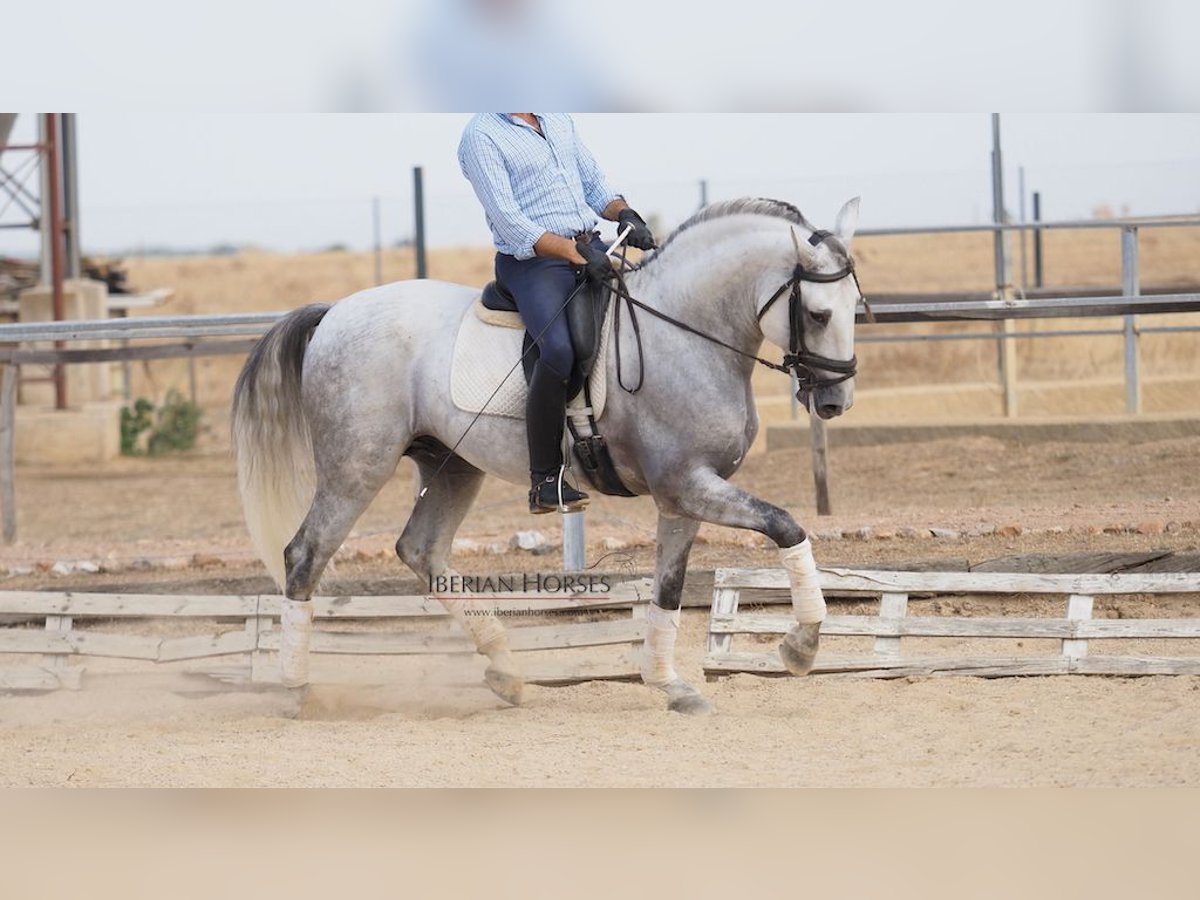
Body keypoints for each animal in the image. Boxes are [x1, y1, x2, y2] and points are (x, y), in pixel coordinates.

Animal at [229, 194, 859, 715]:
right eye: (818, 313)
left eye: (857, 304)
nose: (836, 400)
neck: (686, 334)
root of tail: (334, 312)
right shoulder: (687, 485)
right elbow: (786, 525)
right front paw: (801, 647)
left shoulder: (683, 497)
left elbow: (669, 590)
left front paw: (672, 687)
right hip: (357, 466)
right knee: (305, 555)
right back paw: (297, 690)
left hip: (452, 465)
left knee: (421, 551)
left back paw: (505, 672)